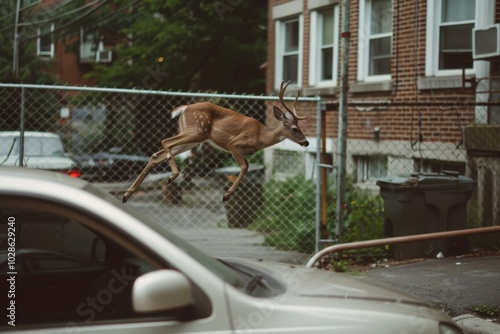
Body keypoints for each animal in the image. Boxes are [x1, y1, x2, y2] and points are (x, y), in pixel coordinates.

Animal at [121, 80, 308, 204]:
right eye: (294, 129)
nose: (306, 142)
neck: (261, 136)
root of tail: (184, 109)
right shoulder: (234, 144)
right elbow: (244, 167)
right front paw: (226, 195)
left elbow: (246, 166)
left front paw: (227, 194)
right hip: (196, 131)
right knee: (165, 141)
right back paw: (172, 176)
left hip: (192, 138)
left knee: (156, 154)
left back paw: (126, 195)